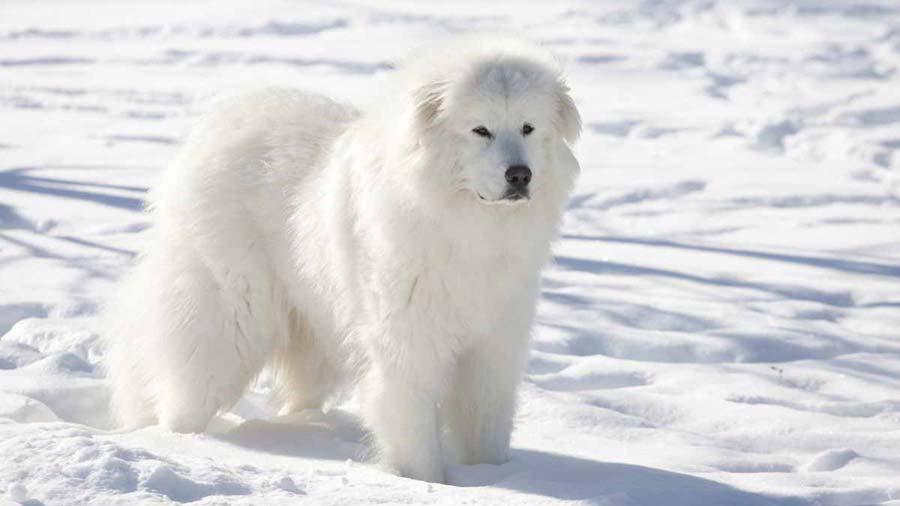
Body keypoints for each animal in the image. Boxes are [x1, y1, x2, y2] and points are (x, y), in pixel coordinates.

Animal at [105, 38, 584, 482]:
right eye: (480, 130)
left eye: (528, 127)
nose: (519, 176)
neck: (467, 226)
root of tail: (216, 124)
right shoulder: (407, 344)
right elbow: (412, 426)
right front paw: (425, 482)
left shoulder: (493, 346)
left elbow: (486, 423)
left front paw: (493, 476)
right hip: (230, 316)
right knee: (188, 384)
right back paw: (180, 442)